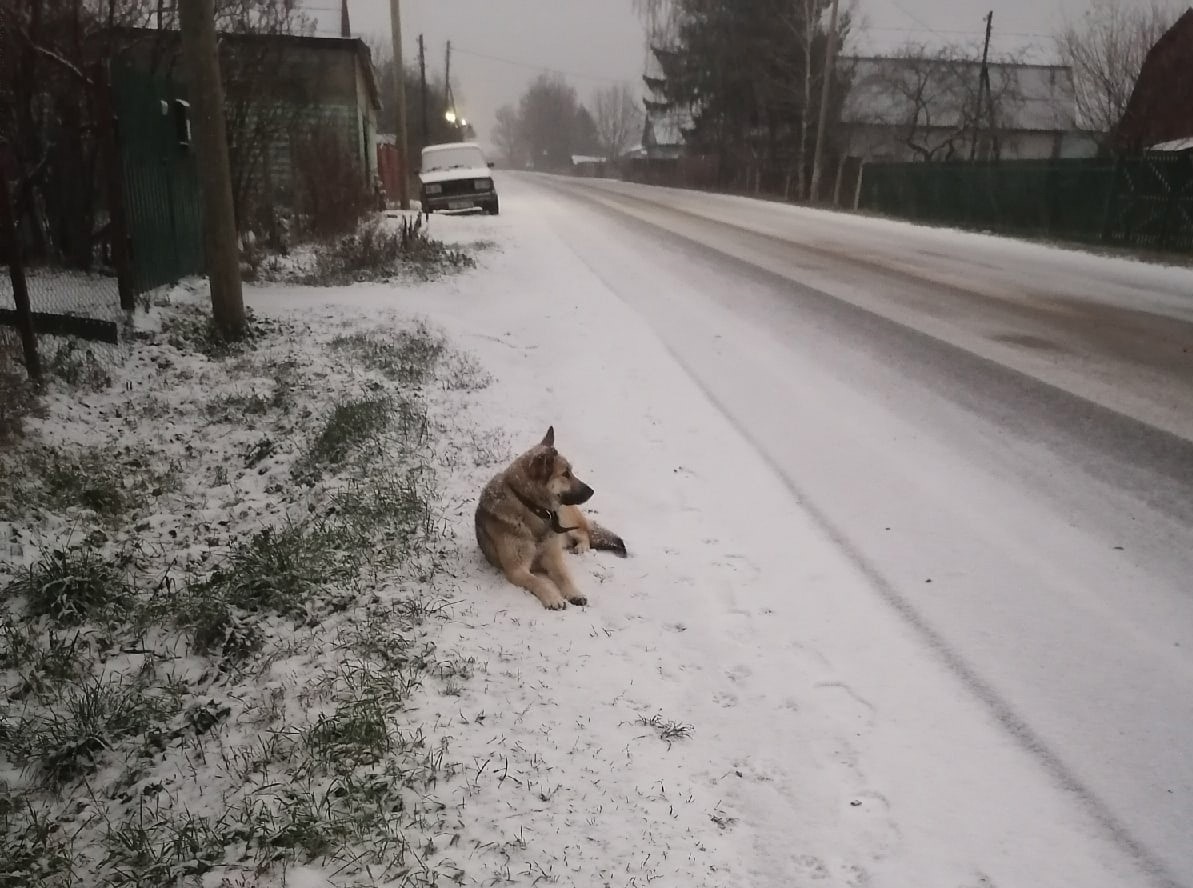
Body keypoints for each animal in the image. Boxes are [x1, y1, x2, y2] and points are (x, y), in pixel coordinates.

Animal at [472, 424, 629, 606]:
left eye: (570, 472)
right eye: (565, 474)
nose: (592, 491)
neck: (530, 507)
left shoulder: (553, 559)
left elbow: (564, 576)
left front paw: (574, 593)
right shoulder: (517, 570)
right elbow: (537, 581)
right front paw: (553, 598)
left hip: (567, 518)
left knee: (584, 533)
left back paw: (581, 547)